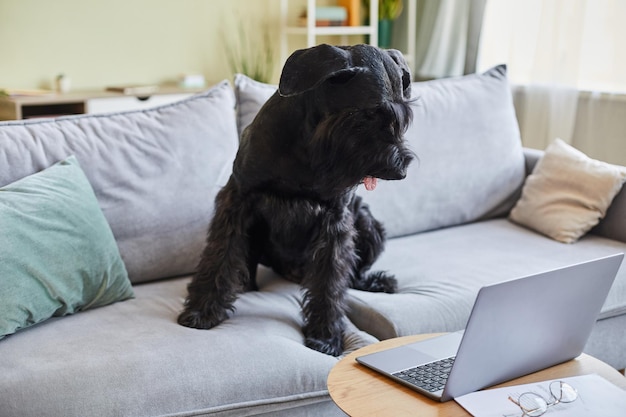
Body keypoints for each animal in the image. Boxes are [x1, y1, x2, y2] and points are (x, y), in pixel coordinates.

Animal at [178, 44, 414, 356]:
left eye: (403, 117)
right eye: (368, 115)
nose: (400, 171)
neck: (310, 143)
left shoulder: (336, 220)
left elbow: (331, 278)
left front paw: (325, 335)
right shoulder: (238, 199)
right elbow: (221, 255)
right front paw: (202, 310)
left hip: (367, 222)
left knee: (353, 274)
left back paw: (378, 281)